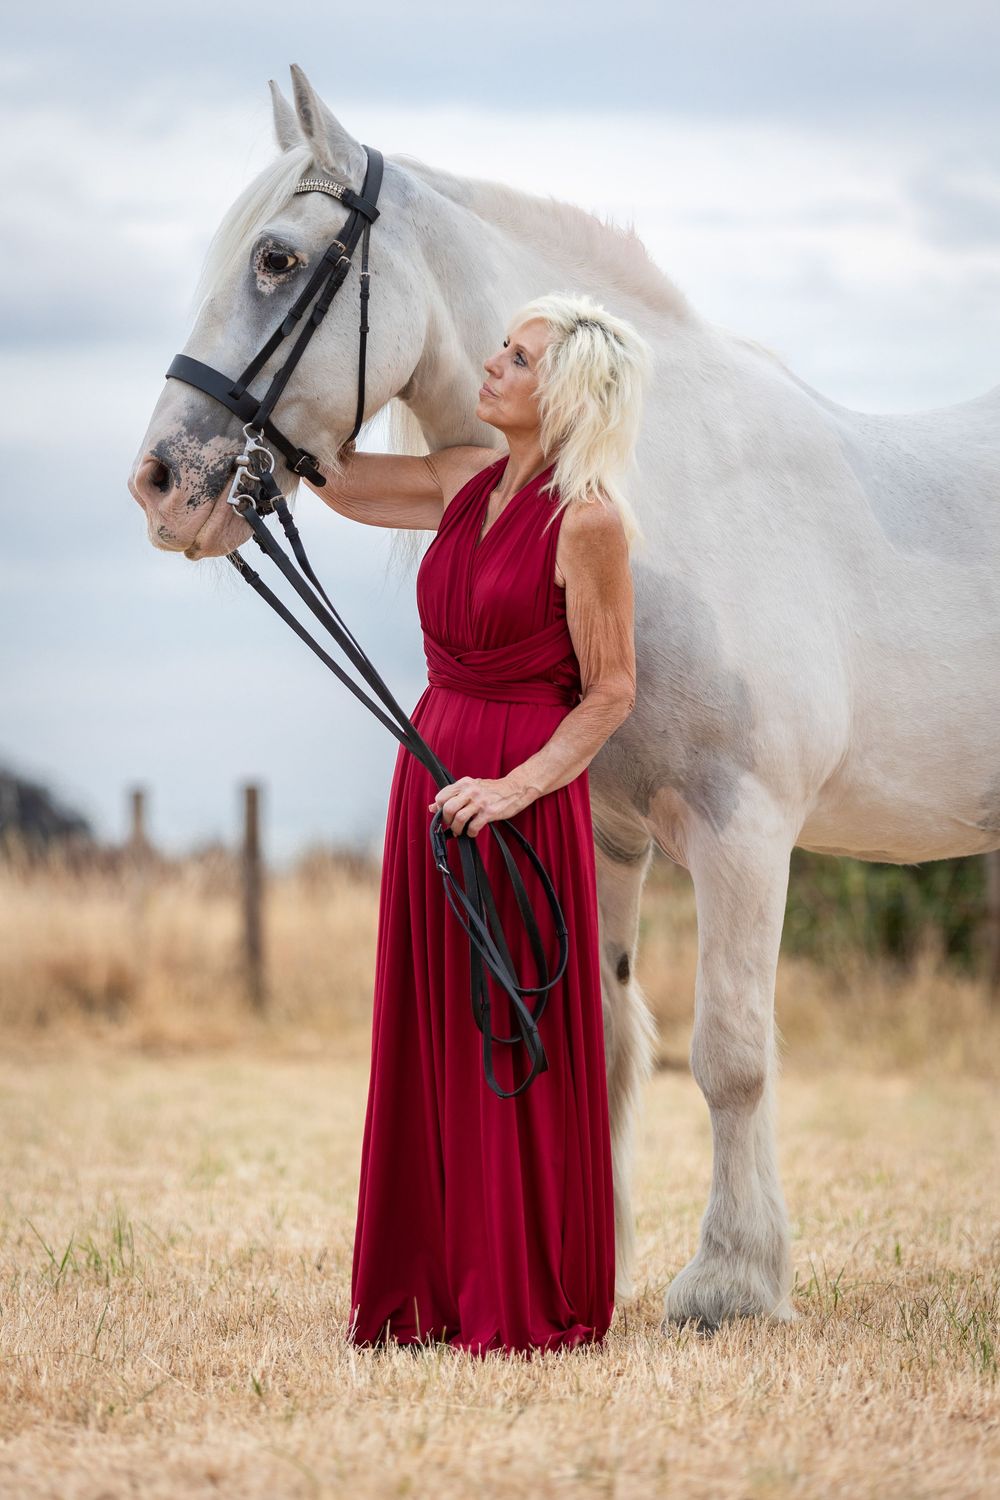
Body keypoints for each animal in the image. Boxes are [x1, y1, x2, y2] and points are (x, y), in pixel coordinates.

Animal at [128, 63, 1000, 1331]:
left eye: (279, 259)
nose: (161, 483)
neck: (656, 491)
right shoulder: (596, 830)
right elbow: (606, 1041)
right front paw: (591, 1265)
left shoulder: (744, 829)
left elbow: (729, 1052)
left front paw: (730, 1282)